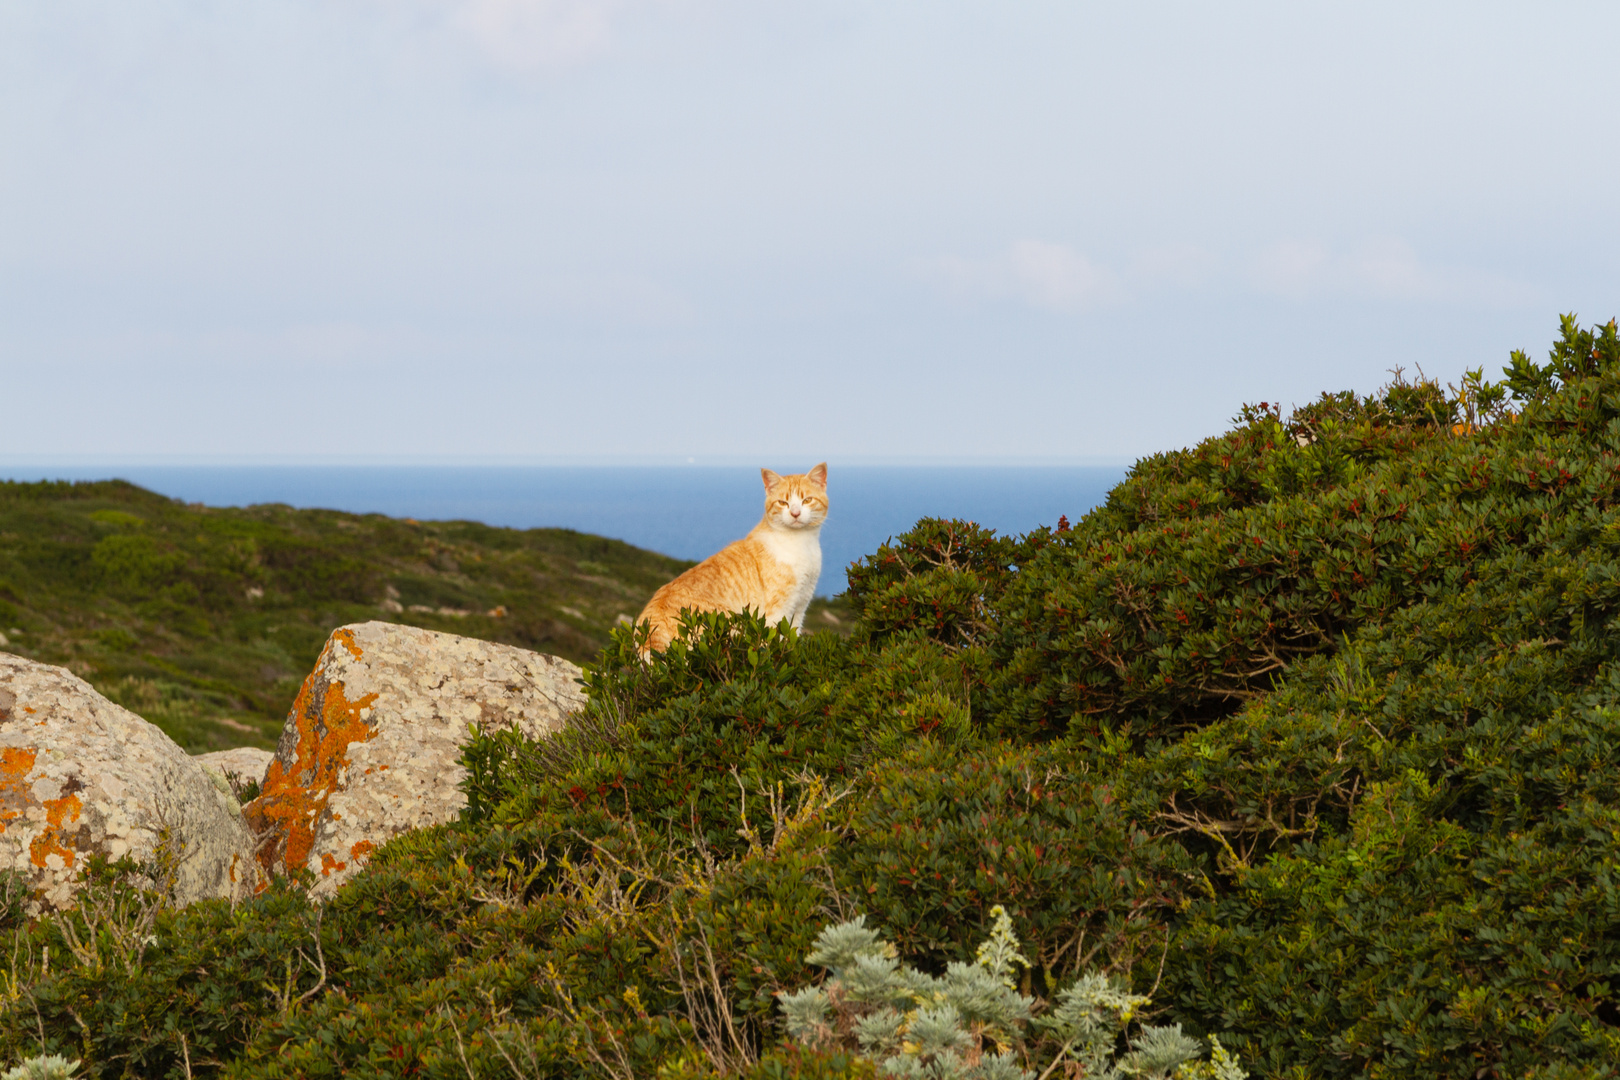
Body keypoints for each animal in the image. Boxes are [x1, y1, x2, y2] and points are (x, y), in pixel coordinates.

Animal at [638, 463, 829, 650]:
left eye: (807, 500)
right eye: (783, 502)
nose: (795, 513)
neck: (803, 543)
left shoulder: (800, 607)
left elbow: (793, 639)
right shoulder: (778, 612)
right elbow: (777, 643)